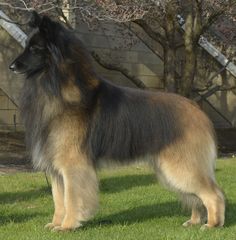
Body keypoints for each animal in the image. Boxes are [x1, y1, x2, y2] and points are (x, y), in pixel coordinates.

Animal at [9, 11, 225, 232]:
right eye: (26, 46)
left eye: (34, 49)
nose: (11, 66)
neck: (58, 85)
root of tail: (197, 110)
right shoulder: (56, 169)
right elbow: (58, 200)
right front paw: (56, 223)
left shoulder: (72, 166)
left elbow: (70, 199)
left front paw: (68, 226)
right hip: (171, 170)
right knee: (196, 198)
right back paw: (195, 220)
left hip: (181, 168)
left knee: (214, 194)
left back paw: (212, 224)